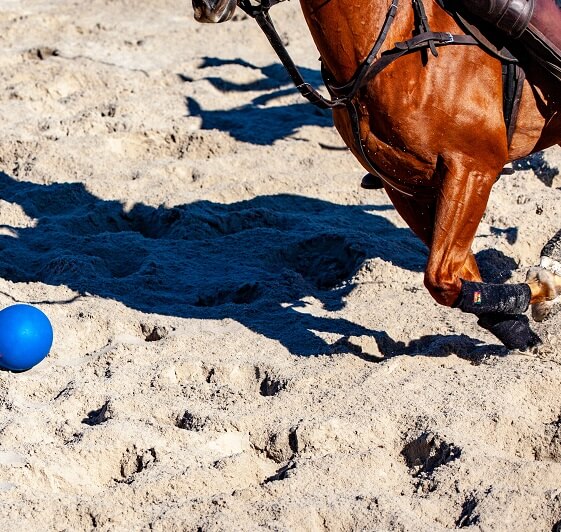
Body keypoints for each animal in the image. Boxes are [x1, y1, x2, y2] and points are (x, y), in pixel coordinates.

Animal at [191, 0, 560, 352]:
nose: (206, 7)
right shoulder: (410, 188)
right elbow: (451, 277)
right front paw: (516, 328)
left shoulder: (472, 169)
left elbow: (442, 275)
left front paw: (546, 283)